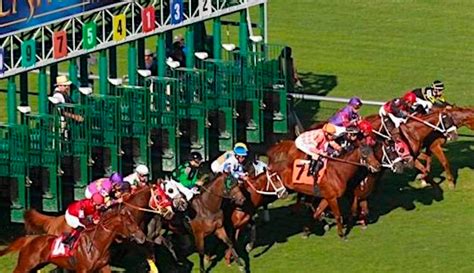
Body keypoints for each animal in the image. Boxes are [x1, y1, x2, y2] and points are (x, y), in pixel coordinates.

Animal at [0, 206, 144, 272]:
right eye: (129, 222)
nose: (142, 237)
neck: (97, 244)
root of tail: (29, 239)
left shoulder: (104, 266)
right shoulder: (82, 270)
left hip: (35, 267)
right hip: (25, 266)